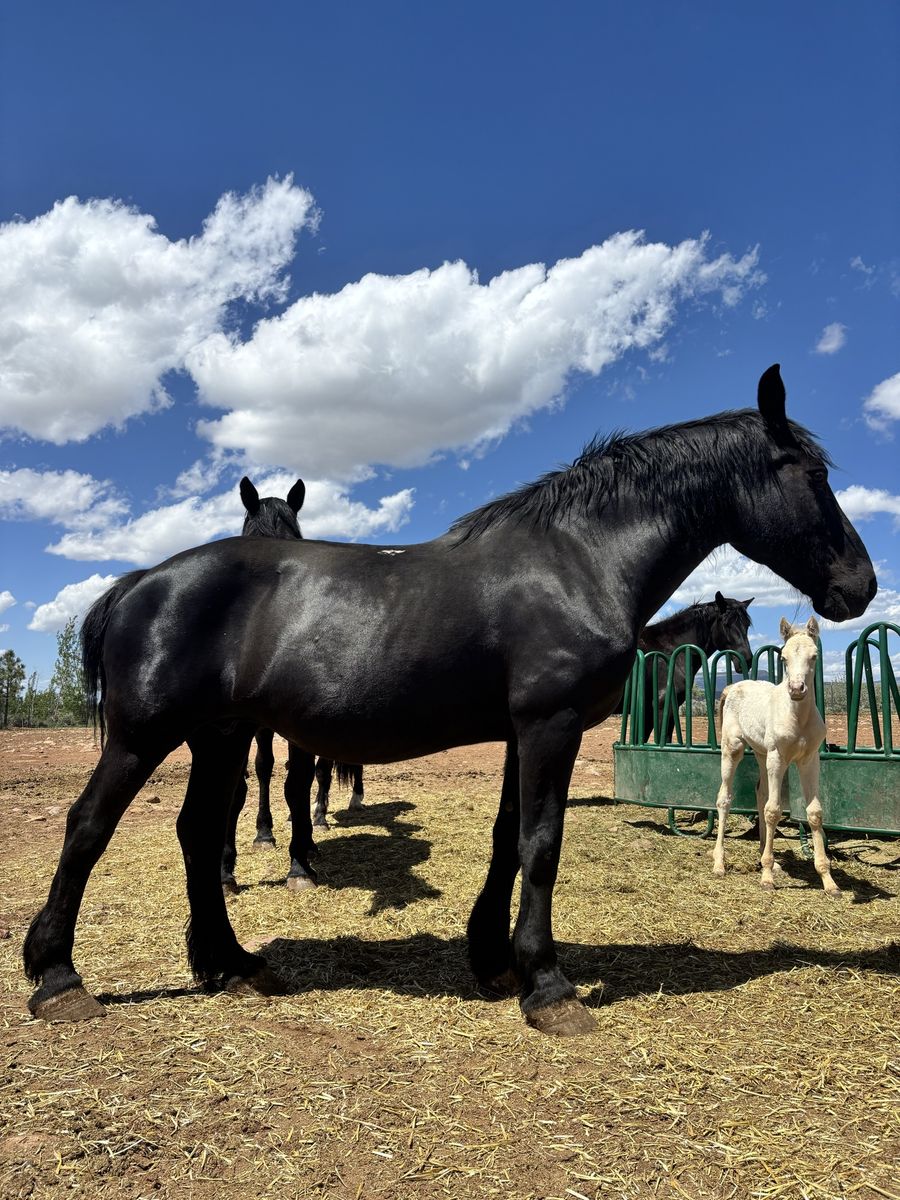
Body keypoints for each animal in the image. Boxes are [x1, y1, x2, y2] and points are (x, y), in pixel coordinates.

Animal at [220, 477, 364, 895]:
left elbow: (298, 782)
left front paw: (299, 865)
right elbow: (241, 786)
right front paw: (226, 868)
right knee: (266, 768)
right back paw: (266, 831)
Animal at [713, 616, 837, 895]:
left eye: (814, 656)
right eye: (783, 658)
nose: (797, 689)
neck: (797, 717)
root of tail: (731, 687)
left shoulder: (809, 760)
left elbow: (814, 812)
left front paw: (829, 881)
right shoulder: (778, 757)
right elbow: (773, 810)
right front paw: (767, 878)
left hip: (762, 753)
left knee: (760, 793)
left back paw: (763, 857)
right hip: (733, 749)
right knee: (724, 798)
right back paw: (719, 863)